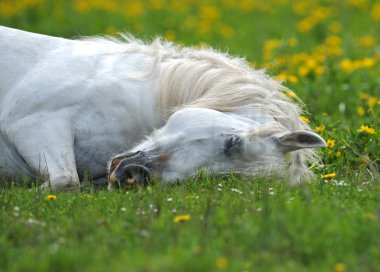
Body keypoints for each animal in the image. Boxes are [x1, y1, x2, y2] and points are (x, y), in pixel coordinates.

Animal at [0, 26, 326, 191]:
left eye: (220, 178)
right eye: (231, 144)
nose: (134, 173)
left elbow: (68, 182)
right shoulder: (34, 123)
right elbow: (65, 182)